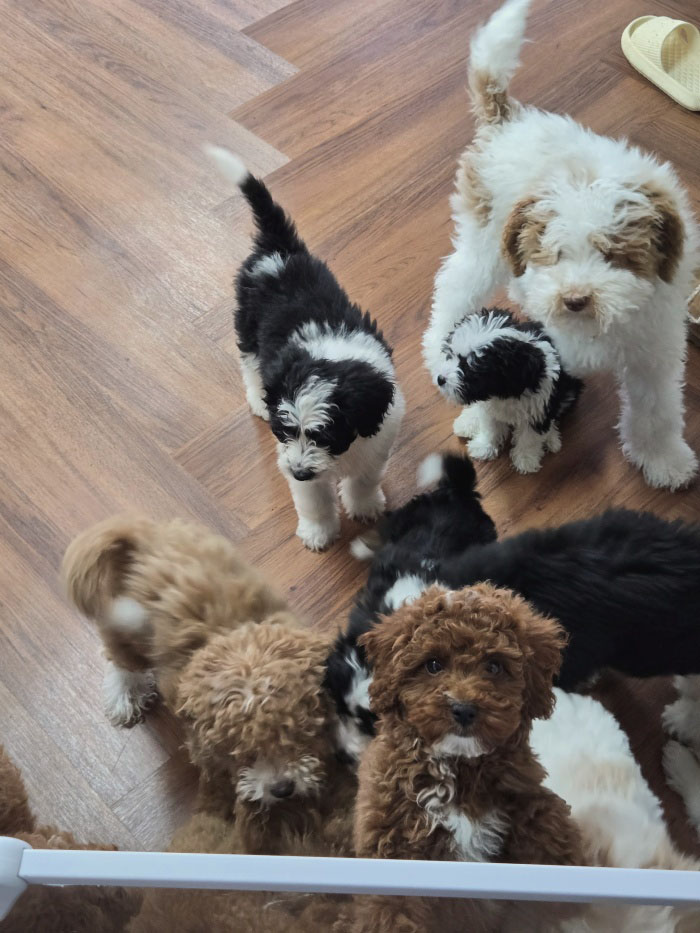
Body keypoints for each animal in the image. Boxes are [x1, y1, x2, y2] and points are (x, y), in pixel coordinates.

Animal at [62, 515, 353, 853]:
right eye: (243, 754)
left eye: (298, 737)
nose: (281, 788)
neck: (239, 642)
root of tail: (143, 536)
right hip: (127, 627)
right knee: (120, 660)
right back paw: (124, 695)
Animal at [206, 146, 405, 551]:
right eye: (285, 431)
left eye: (324, 435)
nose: (298, 471)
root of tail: (279, 249)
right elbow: (314, 499)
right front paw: (319, 531)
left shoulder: (376, 441)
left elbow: (364, 480)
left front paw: (364, 506)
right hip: (247, 327)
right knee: (249, 364)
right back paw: (257, 399)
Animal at [350, 584, 583, 933]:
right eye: (433, 664)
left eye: (495, 666)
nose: (463, 709)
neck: (458, 766)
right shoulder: (391, 844)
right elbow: (392, 908)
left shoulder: (523, 791)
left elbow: (546, 820)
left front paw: (567, 869)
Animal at [435, 307, 583, 473]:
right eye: (451, 355)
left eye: (471, 370)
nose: (440, 379)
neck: (503, 393)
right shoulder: (490, 408)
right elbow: (490, 428)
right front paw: (484, 446)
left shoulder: (539, 410)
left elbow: (529, 437)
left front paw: (526, 459)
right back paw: (467, 422)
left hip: (568, 393)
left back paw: (552, 439)